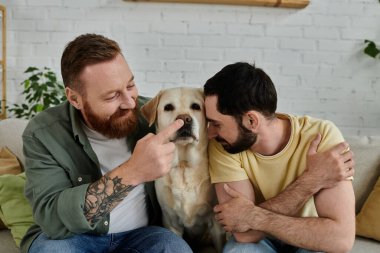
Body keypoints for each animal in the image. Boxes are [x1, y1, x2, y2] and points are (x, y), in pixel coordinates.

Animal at [142, 86, 226, 251]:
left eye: (196, 106)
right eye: (168, 107)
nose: (185, 119)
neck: (183, 165)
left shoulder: (216, 224)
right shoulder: (171, 222)